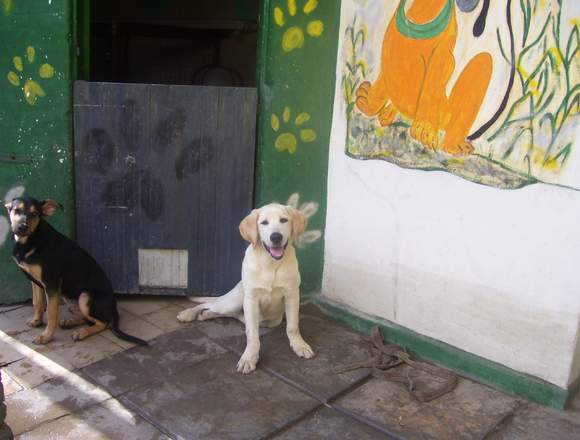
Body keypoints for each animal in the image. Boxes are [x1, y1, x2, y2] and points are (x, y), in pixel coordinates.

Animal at [5, 198, 146, 346]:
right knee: (87, 319)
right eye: (17, 210)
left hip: (85, 296)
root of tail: (114, 310)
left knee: (103, 323)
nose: (22, 227)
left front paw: (46, 336)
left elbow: (51, 313)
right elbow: (37, 302)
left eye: (35, 214)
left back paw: (81, 332)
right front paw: (36, 321)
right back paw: (70, 322)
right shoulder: (36, 282)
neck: (29, 240)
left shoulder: (51, 283)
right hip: (68, 297)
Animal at [177, 205, 314, 372]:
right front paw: (249, 357)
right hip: (234, 301)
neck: (270, 263)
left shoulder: (292, 295)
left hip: (268, 320)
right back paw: (188, 313)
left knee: (233, 315)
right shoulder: (251, 300)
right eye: (264, 222)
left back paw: (206, 315)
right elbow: (252, 333)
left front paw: (299, 345)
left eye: (284, 220)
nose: (276, 237)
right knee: (210, 304)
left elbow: (293, 326)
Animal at [356, 0, 492, 156]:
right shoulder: (387, 55)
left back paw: (453, 145)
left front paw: (425, 127)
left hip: (449, 109)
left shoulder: (443, 57)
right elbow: (382, 83)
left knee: (483, 60)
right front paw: (367, 103)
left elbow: (432, 84)